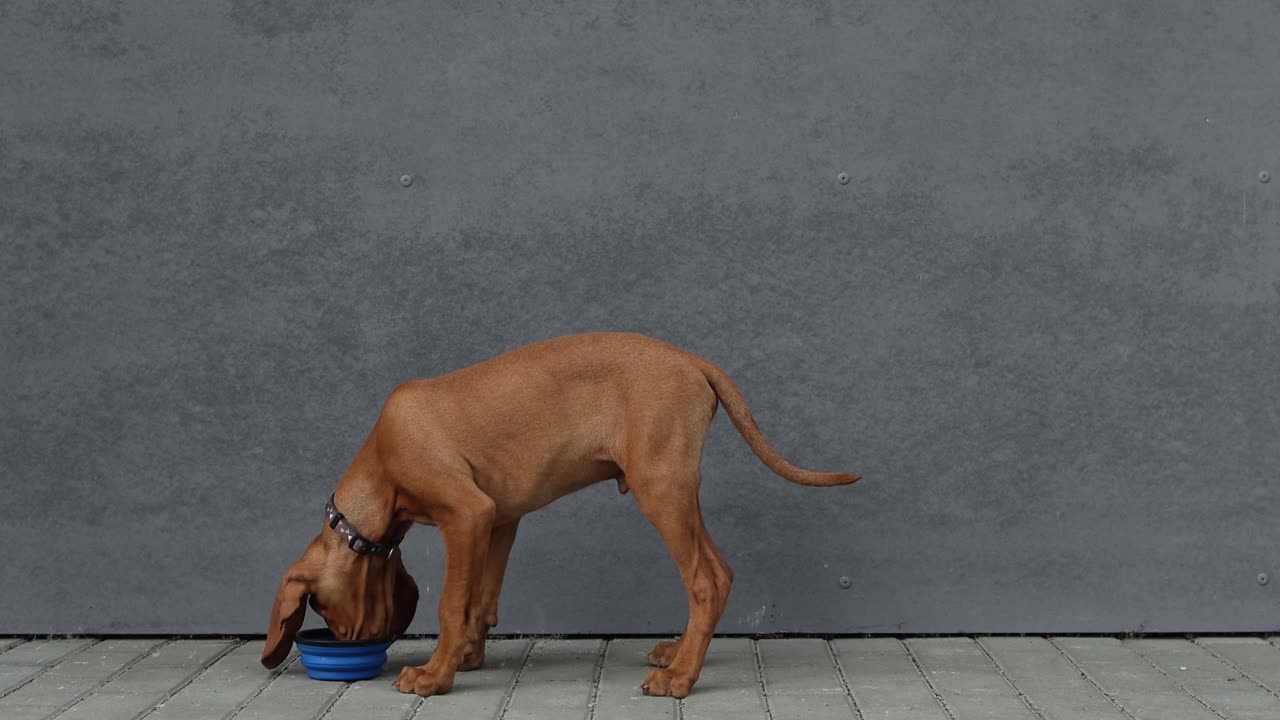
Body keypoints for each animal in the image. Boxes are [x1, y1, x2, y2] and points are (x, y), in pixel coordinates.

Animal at [259, 330, 860, 696]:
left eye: (315, 603)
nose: (348, 647)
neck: (382, 465)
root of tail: (692, 359)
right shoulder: (499, 519)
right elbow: (481, 600)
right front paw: (467, 657)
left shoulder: (467, 513)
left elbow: (452, 603)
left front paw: (433, 676)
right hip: (677, 490)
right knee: (722, 572)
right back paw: (677, 654)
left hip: (659, 490)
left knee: (706, 581)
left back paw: (682, 678)